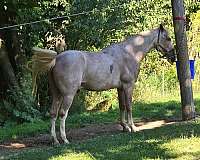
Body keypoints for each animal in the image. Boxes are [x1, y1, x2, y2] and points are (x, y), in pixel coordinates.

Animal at [30, 24, 175, 144]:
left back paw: (55, 140)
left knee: (53, 113)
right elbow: (129, 107)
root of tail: (56, 59)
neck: (129, 53)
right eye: (168, 38)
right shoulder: (128, 86)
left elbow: (122, 106)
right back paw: (64, 140)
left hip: (57, 94)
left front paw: (124, 127)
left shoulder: (120, 88)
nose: (173, 57)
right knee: (62, 114)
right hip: (68, 95)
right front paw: (133, 128)